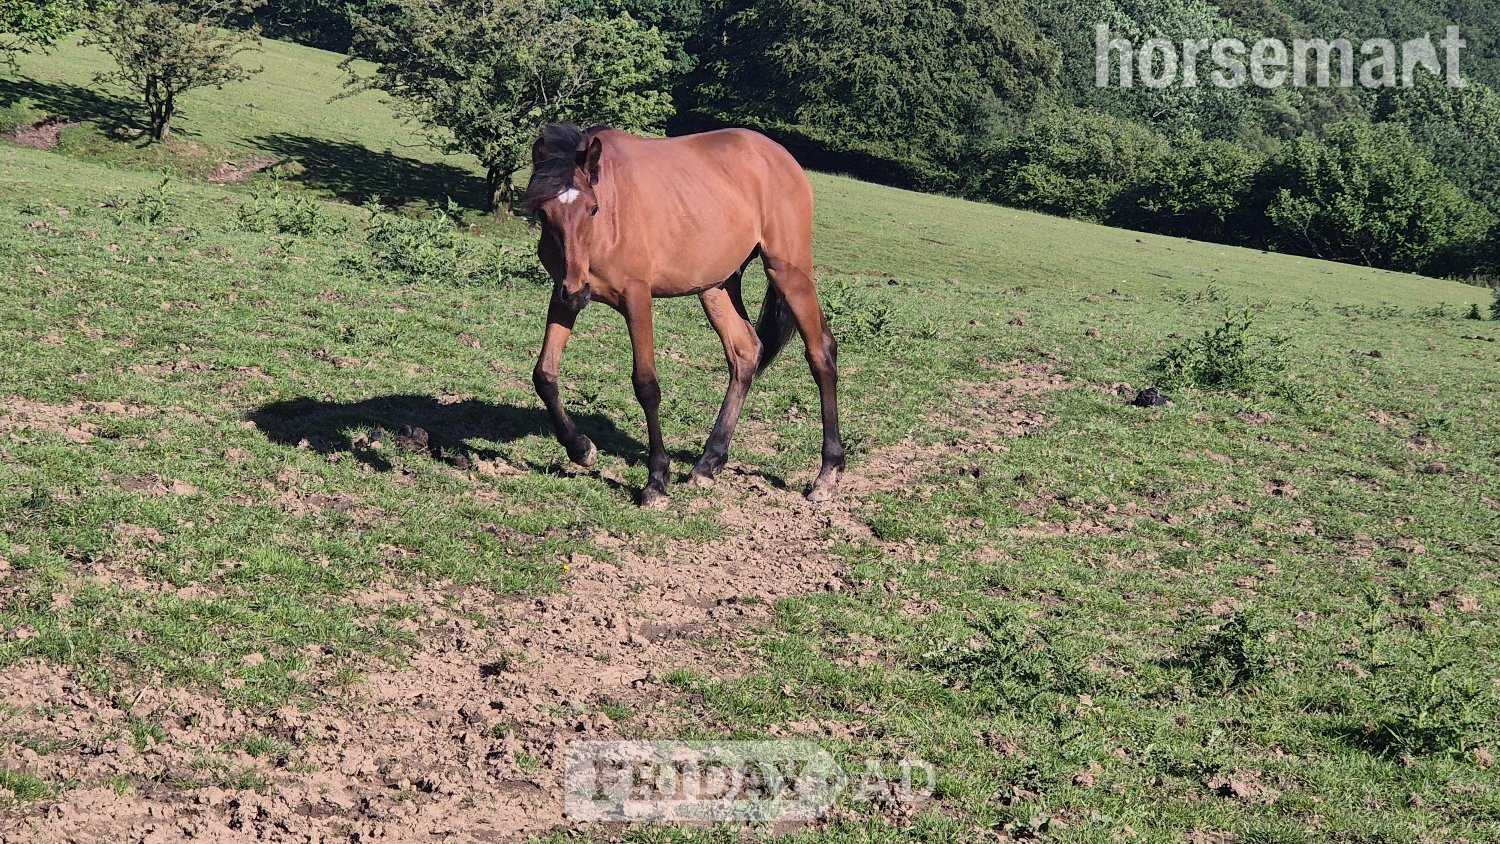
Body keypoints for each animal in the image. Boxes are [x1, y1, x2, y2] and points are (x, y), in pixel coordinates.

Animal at [523, 123, 844, 507]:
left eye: (593, 209)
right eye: (544, 213)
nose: (576, 290)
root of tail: (783, 158)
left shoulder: (636, 297)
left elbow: (646, 386)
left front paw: (656, 481)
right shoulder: (564, 296)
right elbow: (544, 375)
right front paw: (581, 448)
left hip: (788, 273)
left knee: (820, 352)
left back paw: (827, 473)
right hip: (717, 287)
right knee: (745, 352)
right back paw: (708, 463)